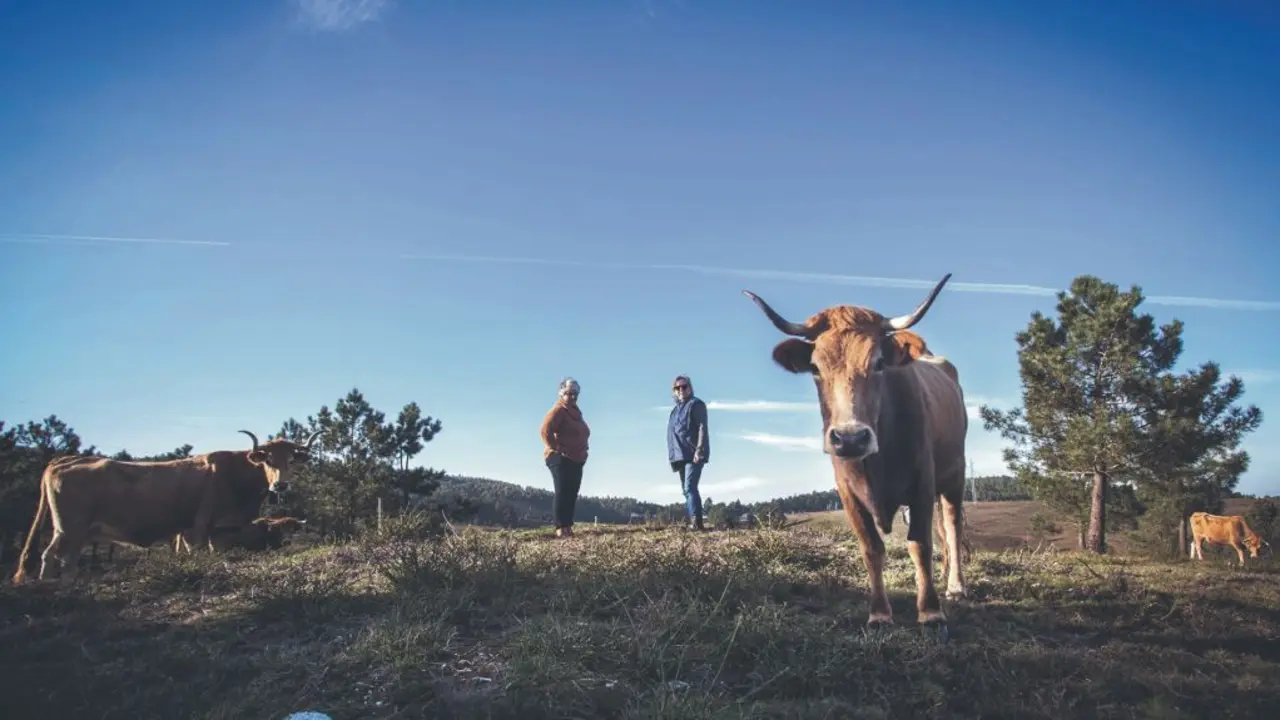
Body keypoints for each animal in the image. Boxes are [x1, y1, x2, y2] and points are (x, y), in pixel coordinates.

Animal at [12, 429, 321, 584]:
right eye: (268, 460)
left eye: (291, 460)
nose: (280, 485)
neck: (234, 474)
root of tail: (62, 460)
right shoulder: (199, 527)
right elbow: (198, 553)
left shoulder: (214, 530)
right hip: (69, 528)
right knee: (50, 555)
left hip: (75, 533)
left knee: (64, 560)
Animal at [743, 273, 968, 628]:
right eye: (815, 368)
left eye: (879, 362)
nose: (850, 438)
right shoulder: (847, 492)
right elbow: (871, 548)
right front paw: (879, 613)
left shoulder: (922, 480)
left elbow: (919, 544)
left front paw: (930, 610)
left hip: (955, 475)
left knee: (953, 525)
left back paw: (956, 586)